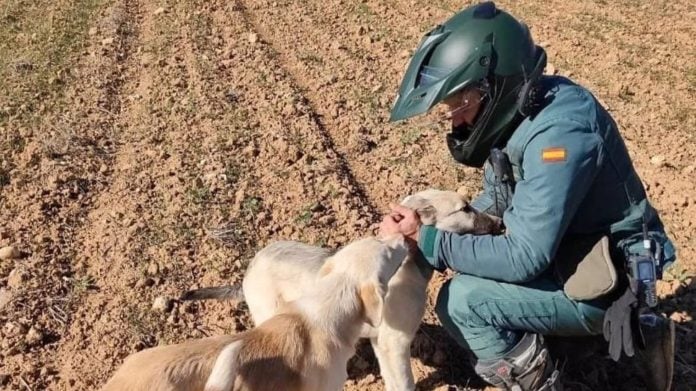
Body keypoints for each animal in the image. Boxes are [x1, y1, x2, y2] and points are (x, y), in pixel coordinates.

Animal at [182, 188, 502, 390]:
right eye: (465, 208)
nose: (500, 223)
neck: (409, 265)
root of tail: (248, 271)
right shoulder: (394, 343)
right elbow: (404, 383)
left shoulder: (382, 343)